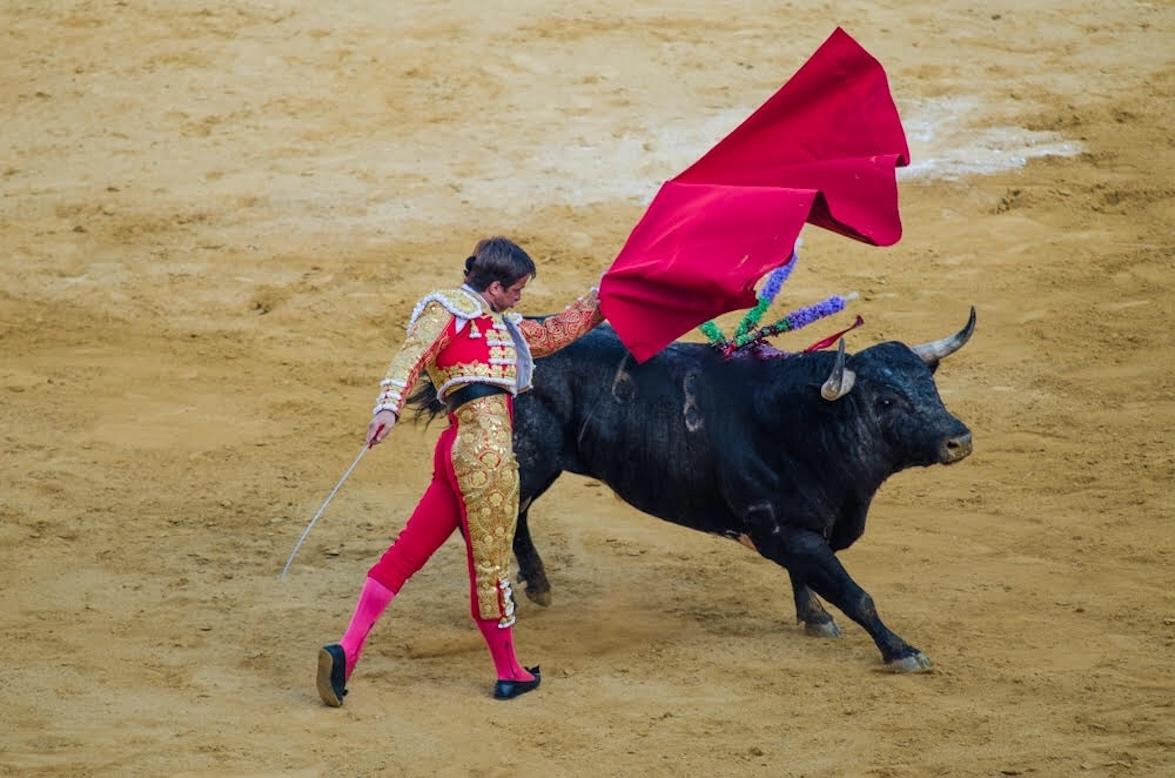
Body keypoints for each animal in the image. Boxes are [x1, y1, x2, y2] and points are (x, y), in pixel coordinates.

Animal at [413, 307, 972, 672]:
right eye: (884, 401)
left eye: (930, 384)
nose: (958, 438)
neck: (807, 420)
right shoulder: (784, 528)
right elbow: (856, 594)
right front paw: (902, 651)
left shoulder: (798, 529)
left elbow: (809, 579)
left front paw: (814, 618)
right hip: (525, 457)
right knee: (495, 514)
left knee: (518, 515)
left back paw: (540, 585)